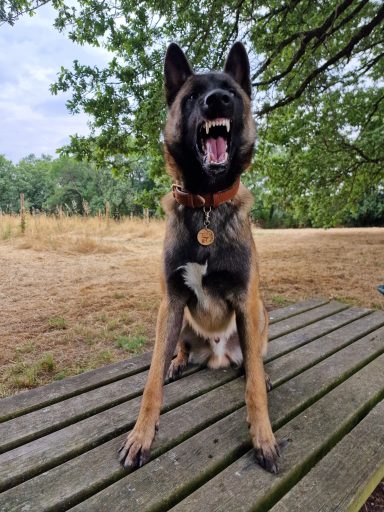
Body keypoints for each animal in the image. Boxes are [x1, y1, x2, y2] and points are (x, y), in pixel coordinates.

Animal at [118, 42, 280, 474]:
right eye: (191, 96)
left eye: (230, 91)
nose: (217, 100)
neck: (206, 204)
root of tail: (218, 357)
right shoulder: (171, 302)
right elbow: (151, 381)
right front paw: (141, 435)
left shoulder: (245, 299)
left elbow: (253, 389)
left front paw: (263, 437)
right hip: (180, 321)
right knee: (181, 348)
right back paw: (179, 360)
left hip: (259, 316)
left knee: (253, 363)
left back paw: (257, 371)